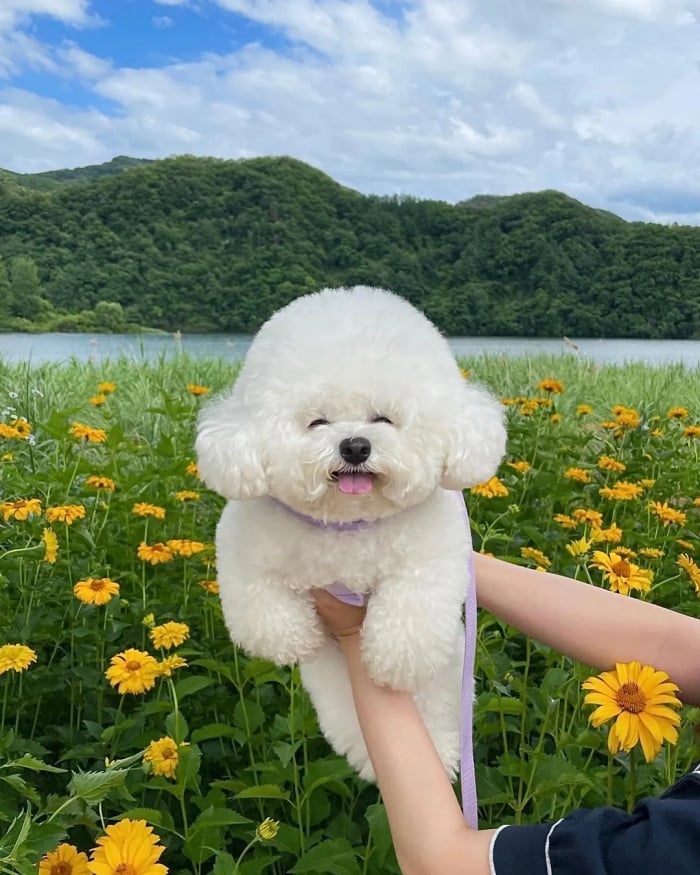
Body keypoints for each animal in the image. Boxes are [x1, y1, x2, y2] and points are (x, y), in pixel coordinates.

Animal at [196, 286, 506, 780]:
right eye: (318, 421)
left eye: (383, 418)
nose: (355, 446)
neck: (347, 525)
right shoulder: (244, 550)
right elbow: (262, 613)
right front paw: (296, 636)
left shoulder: (434, 557)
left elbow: (412, 614)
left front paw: (395, 659)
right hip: (338, 694)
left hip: (451, 673)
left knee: (436, 710)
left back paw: (438, 752)